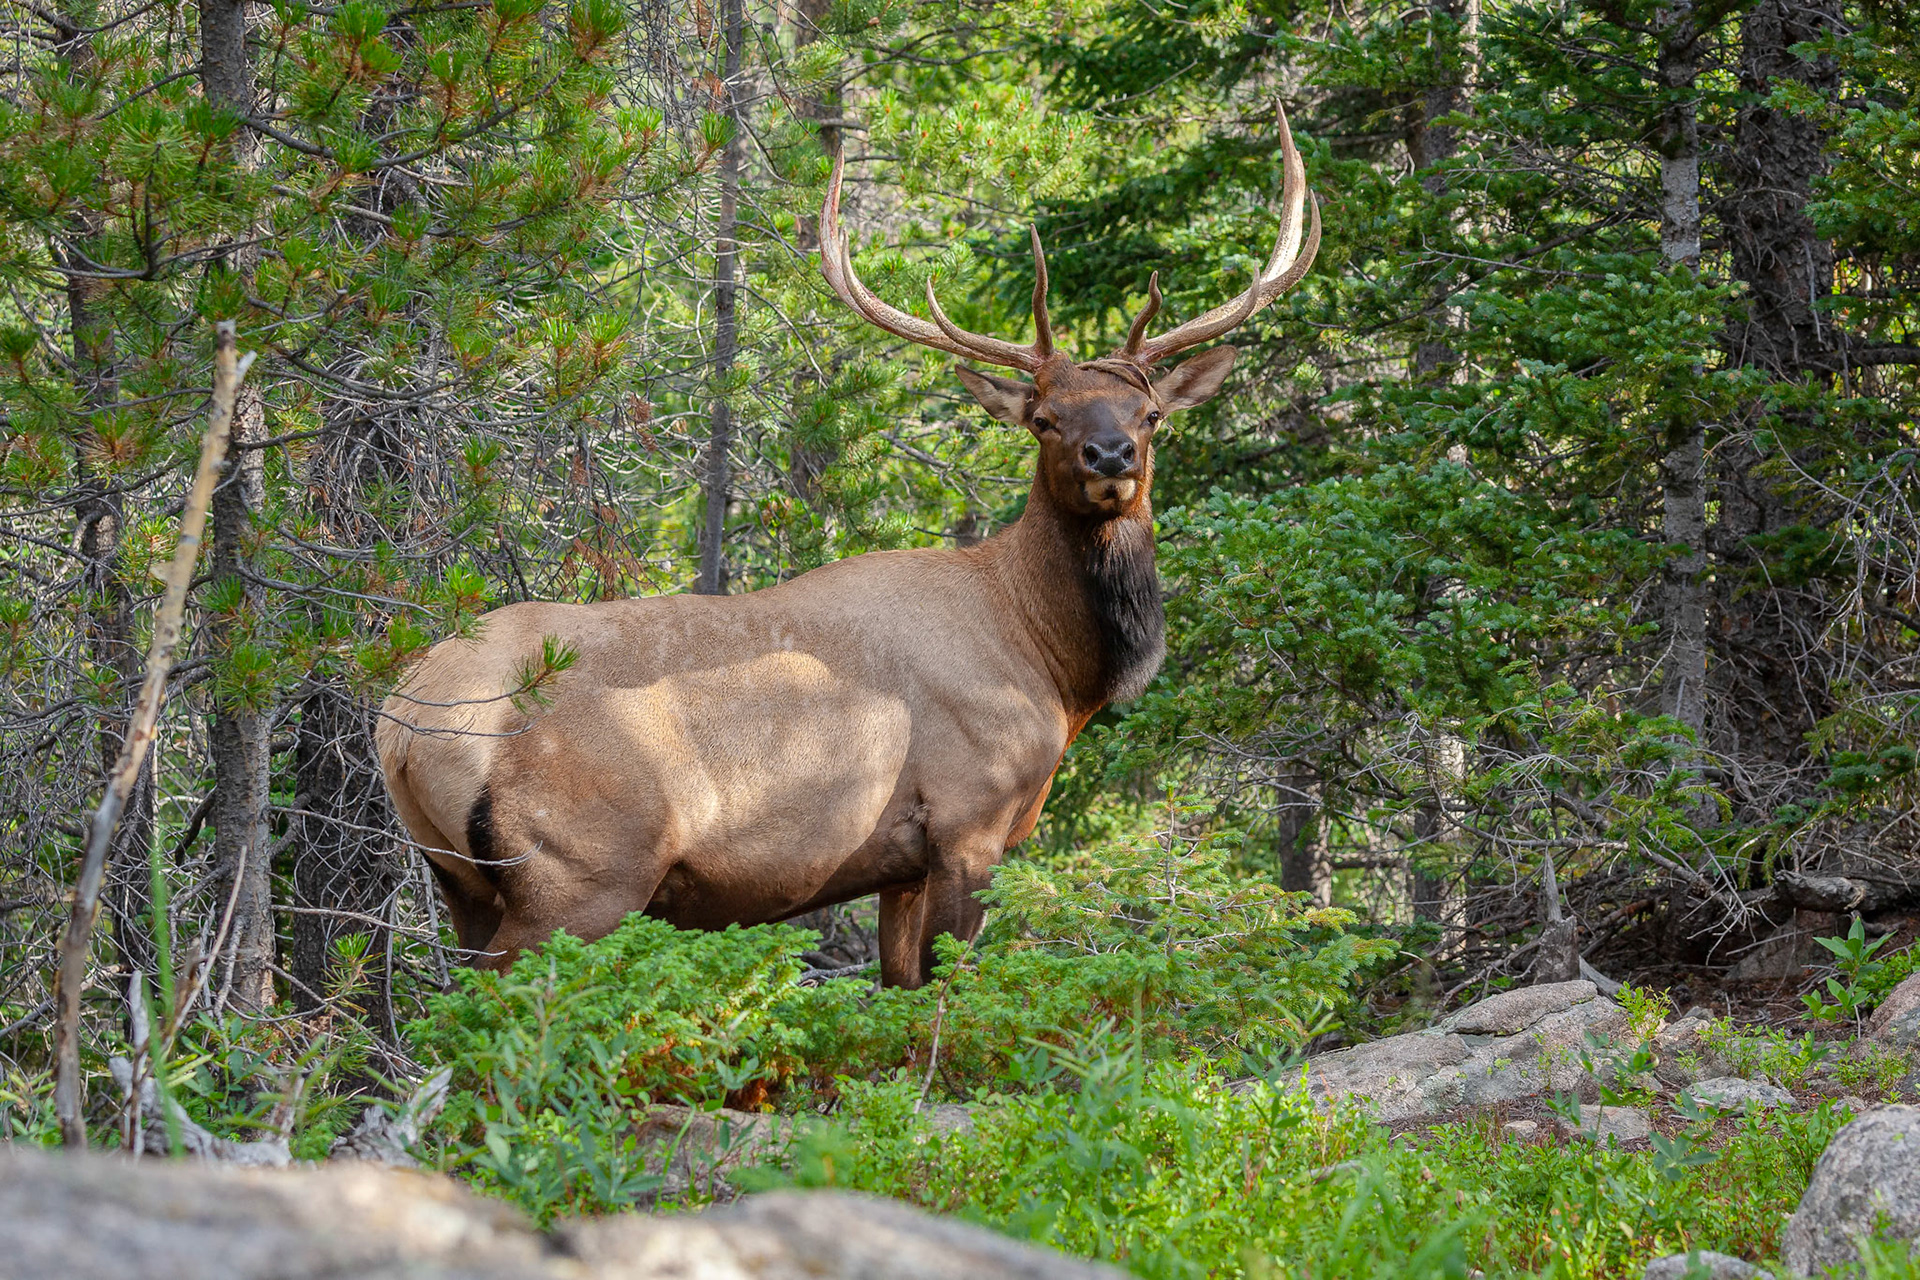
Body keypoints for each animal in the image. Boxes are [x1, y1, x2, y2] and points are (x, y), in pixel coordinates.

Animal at [375, 108, 1320, 988]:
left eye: (1150, 413)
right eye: (1044, 418)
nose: (1111, 456)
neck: (1053, 663)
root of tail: (400, 727)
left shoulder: (899, 863)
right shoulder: (969, 819)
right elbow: (945, 995)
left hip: (463, 885)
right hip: (581, 875)